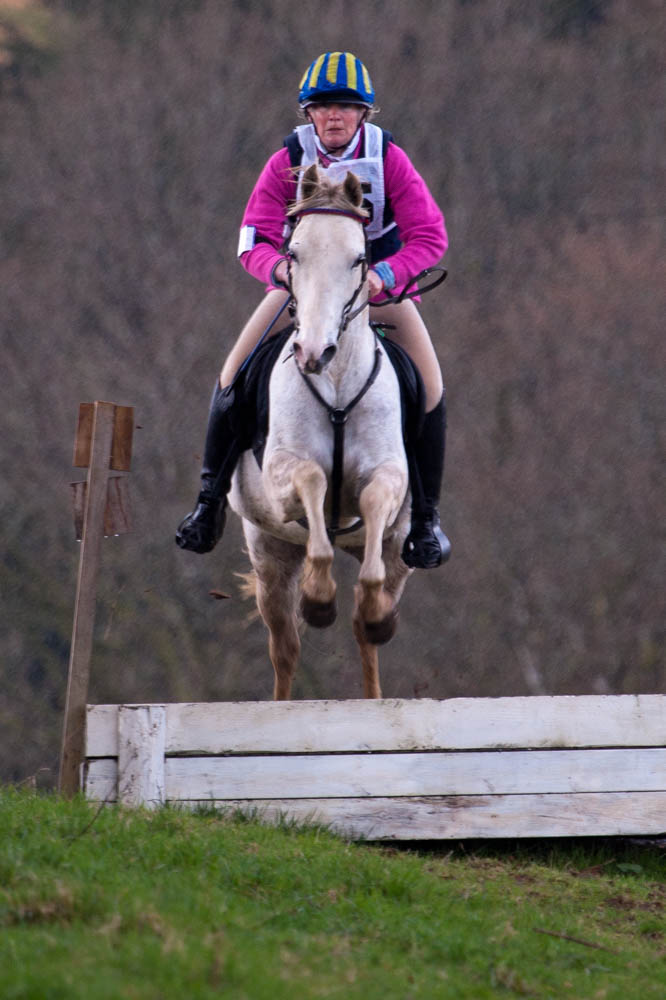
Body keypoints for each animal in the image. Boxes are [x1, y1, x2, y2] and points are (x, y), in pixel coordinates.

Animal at [228, 164, 410, 696]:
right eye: (293, 254)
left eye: (358, 259)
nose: (313, 352)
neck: (336, 382)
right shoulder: (282, 475)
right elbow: (312, 479)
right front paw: (319, 598)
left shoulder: (390, 477)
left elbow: (373, 500)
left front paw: (367, 609)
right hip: (269, 552)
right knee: (284, 647)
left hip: (400, 552)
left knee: (368, 629)